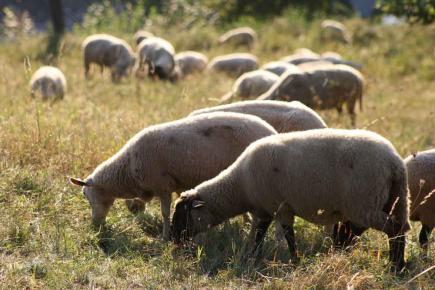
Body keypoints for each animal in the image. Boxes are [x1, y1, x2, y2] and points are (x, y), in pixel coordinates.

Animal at [70, 112, 278, 241]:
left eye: (86, 196)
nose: (95, 226)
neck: (128, 166)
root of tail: (271, 131)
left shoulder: (162, 185)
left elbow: (165, 213)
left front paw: (164, 237)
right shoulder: (179, 185)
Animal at [171, 129, 412, 272]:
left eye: (183, 215)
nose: (174, 241)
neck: (239, 185)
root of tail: (395, 163)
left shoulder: (280, 207)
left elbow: (288, 236)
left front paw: (295, 261)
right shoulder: (264, 210)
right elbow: (259, 236)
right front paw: (253, 257)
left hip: (365, 203)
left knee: (393, 229)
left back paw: (395, 265)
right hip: (395, 199)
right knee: (398, 228)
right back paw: (398, 264)